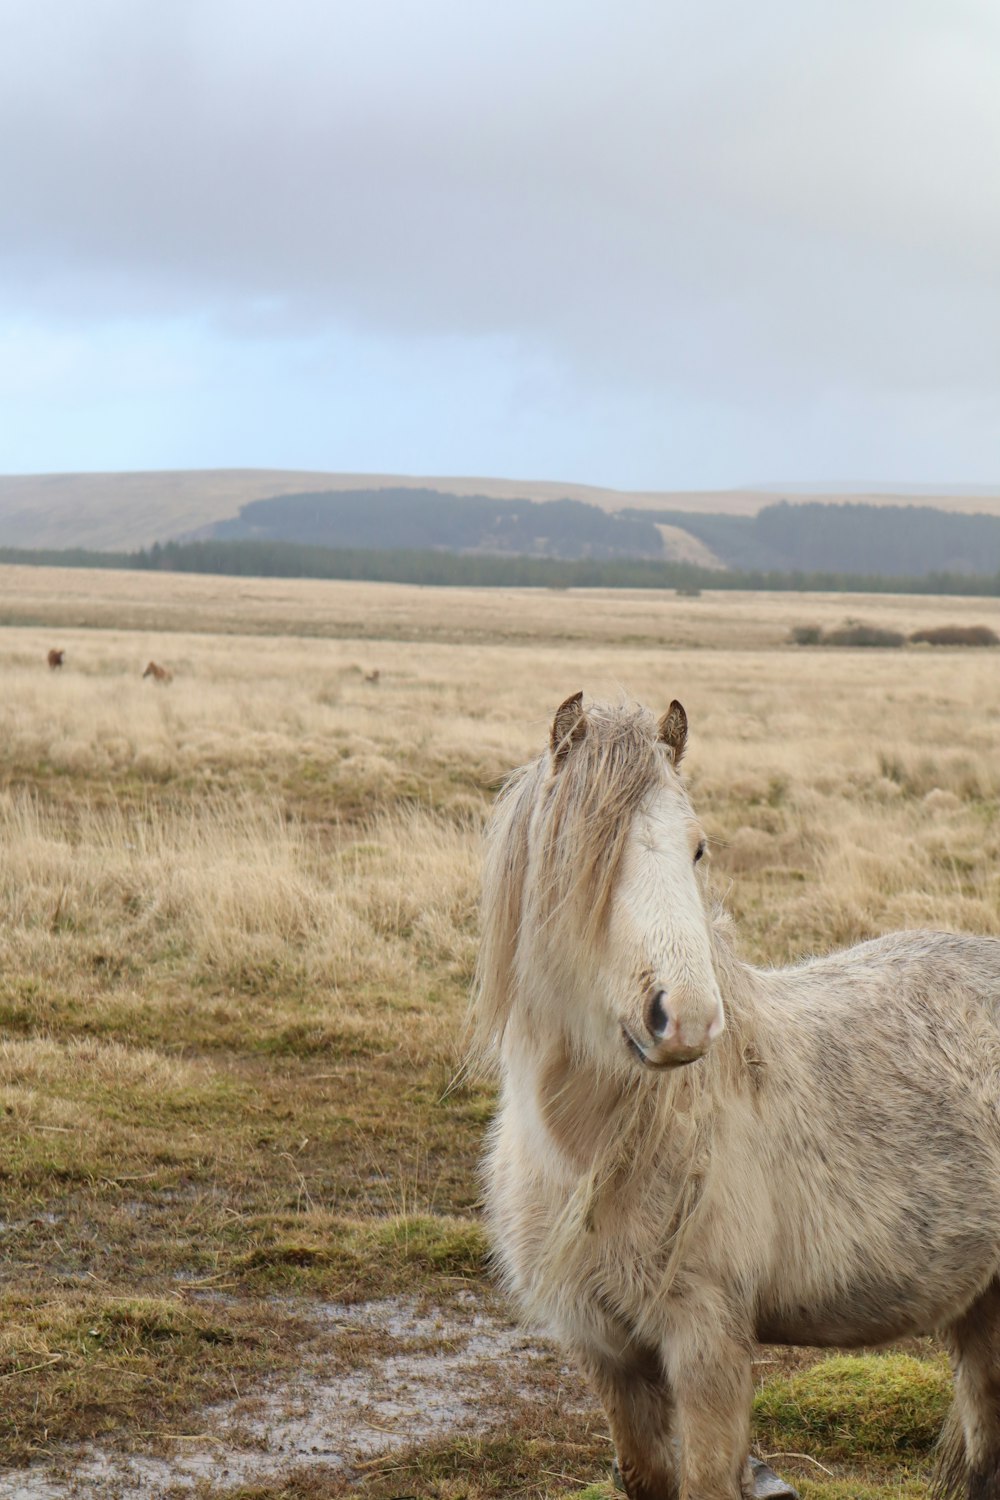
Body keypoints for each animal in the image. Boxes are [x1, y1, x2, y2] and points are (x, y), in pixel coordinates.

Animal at [476, 696, 1000, 1500]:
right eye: (587, 851)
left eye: (697, 849)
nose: (685, 1018)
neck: (598, 1153)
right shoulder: (607, 1353)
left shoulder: (708, 1345)